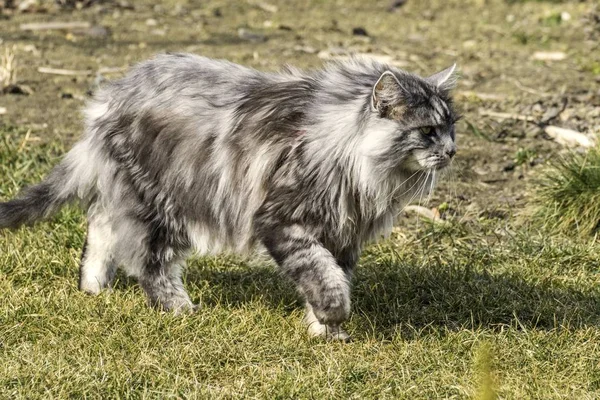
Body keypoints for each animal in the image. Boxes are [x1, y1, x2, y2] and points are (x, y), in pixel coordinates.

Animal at [1, 53, 460, 340]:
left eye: (452, 127)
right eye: (427, 131)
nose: (453, 151)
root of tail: (108, 99)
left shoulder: (342, 234)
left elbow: (334, 275)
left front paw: (323, 331)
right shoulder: (282, 222)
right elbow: (321, 276)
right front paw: (332, 317)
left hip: (131, 195)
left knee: (100, 226)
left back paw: (93, 287)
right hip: (162, 204)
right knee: (148, 262)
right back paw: (179, 310)